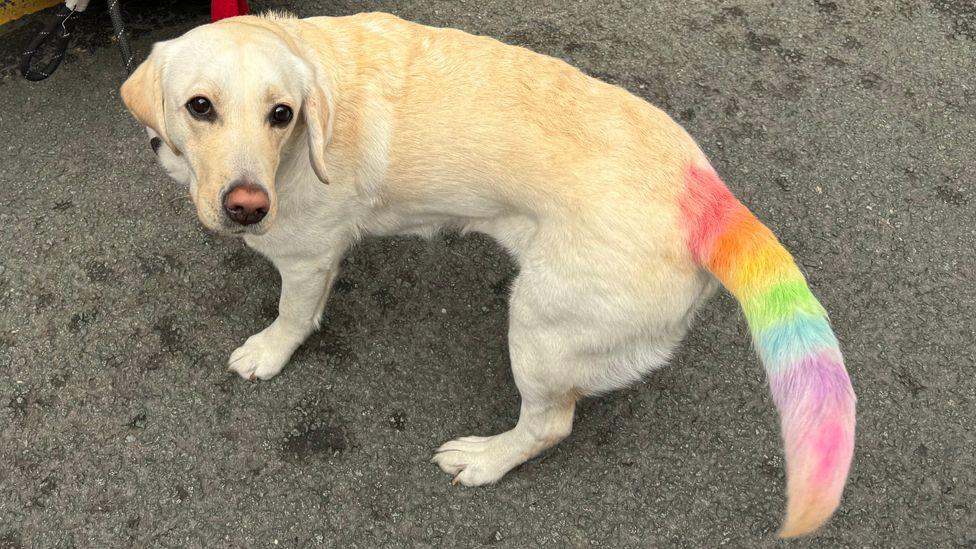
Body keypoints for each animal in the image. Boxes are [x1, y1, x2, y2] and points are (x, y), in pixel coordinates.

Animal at [120, 11, 856, 536]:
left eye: (282, 114)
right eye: (199, 106)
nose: (246, 205)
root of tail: (708, 197)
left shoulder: (306, 257)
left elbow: (294, 316)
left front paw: (269, 351)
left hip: (540, 326)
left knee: (549, 424)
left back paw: (485, 459)